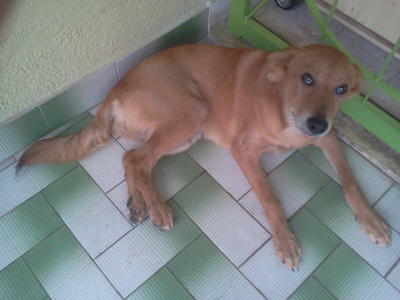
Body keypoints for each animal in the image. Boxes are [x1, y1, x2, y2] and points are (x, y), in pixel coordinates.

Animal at [18, 44, 390, 268]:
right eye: (307, 78)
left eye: (341, 89)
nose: (316, 124)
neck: (285, 112)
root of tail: (116, 87)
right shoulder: (244, 151)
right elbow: (270, 198)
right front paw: (285, 240)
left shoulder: (330, 140)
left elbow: (350, 182)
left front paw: (370, 220)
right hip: (191, 114)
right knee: (137, 160)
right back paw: (158, 209)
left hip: (184, 134)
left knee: (135, 159)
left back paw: (138, 203)